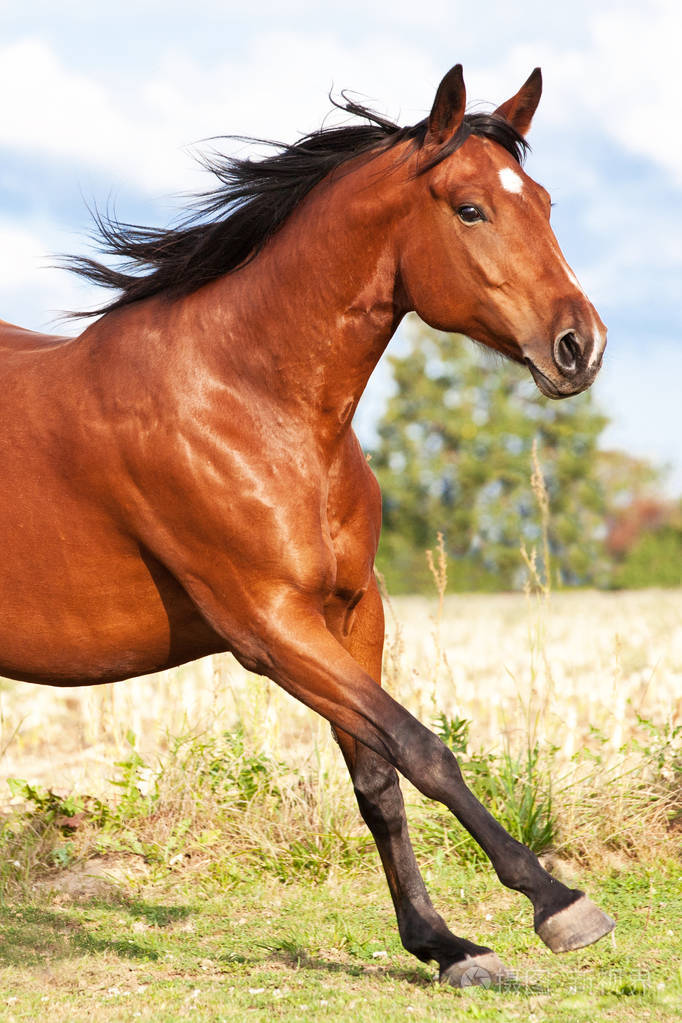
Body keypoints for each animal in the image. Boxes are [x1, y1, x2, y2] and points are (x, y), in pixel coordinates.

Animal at [0, 64, 612, 987]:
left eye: (541, 200)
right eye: (470, 209)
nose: (582, 345)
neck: (251, 398)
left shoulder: (351, 612)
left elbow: (379, 778)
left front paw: (445, 945)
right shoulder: (270, 626)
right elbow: (422, 749)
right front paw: (556, 903)